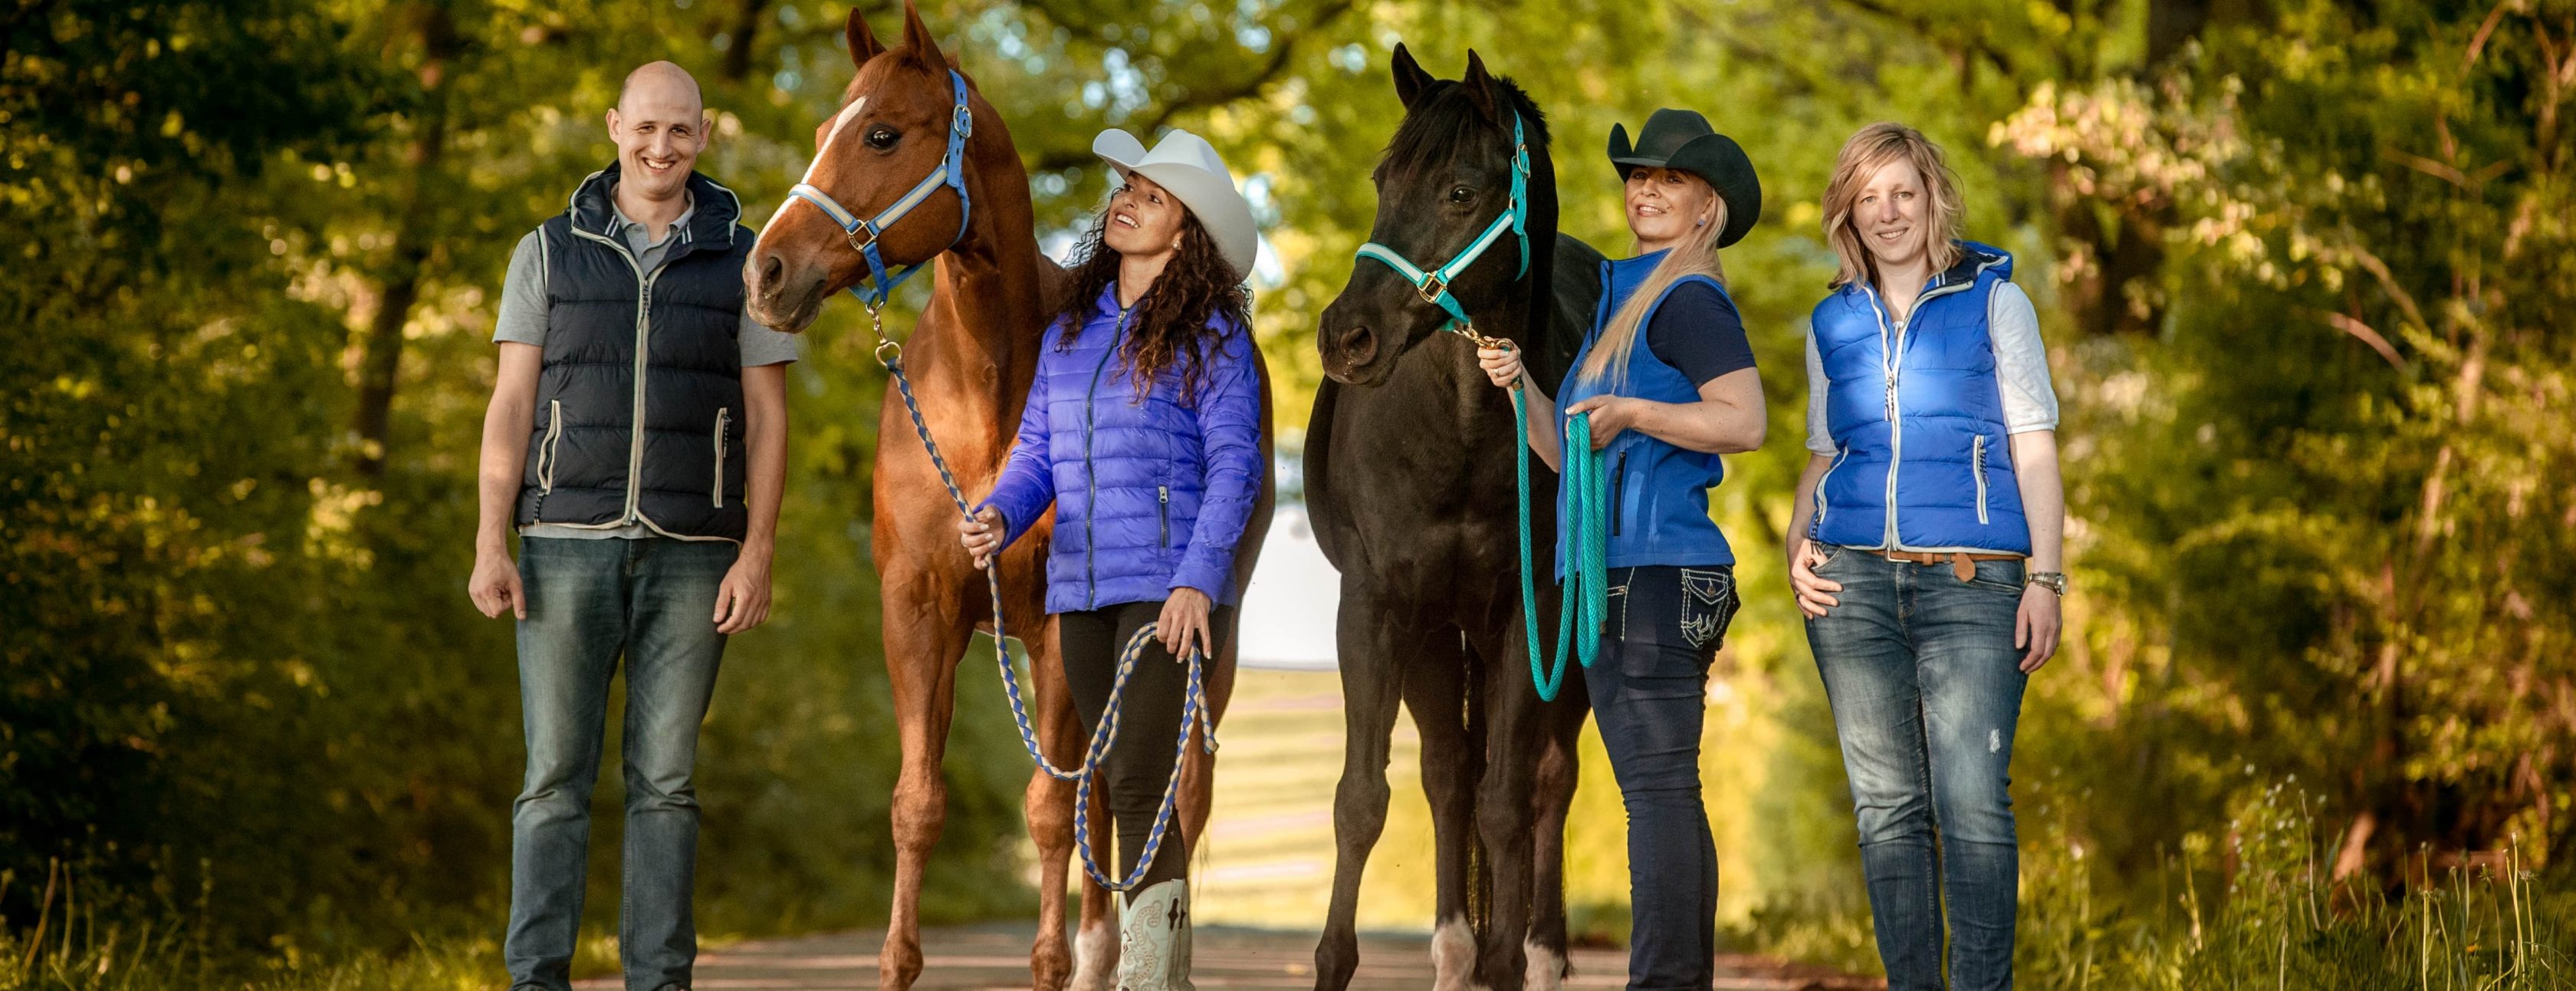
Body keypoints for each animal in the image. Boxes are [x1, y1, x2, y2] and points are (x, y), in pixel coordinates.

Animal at [1308, 50, 1607, 988]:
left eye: (1462, 192)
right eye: (1383, 180)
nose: (1347, 336)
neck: (1467, 432)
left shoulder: (1527, 614)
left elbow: (1507, 803)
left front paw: (1507, 961)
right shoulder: (1375, 607)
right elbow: (1363, 798)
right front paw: (1334, 960)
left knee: (1546, 781)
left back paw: (1538, 952)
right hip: (1436, 636)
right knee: (1447, 775)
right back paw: (1453, 951)